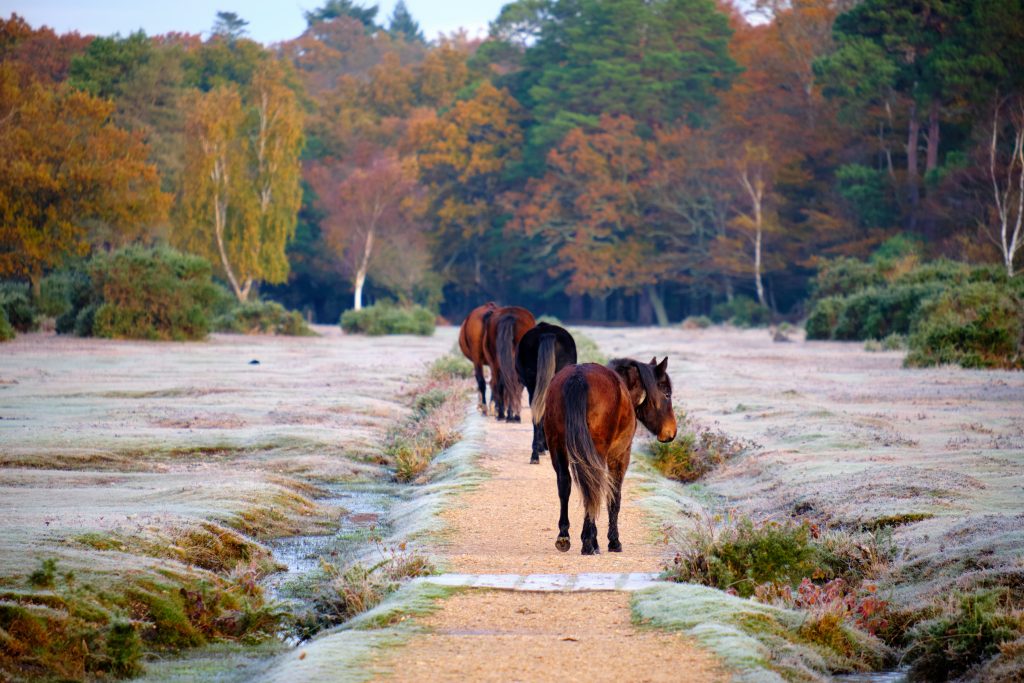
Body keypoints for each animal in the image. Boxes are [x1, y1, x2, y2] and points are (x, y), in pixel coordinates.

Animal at [540, 358, 675, 557]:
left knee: (565, 484)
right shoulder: (620, 457)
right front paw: (613, 541)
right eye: (667, 393)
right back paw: (589, 543)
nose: (671, 431)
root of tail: (577, 378)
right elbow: (614, 497)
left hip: (557, 446)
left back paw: (564, 536)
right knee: (592, 487)